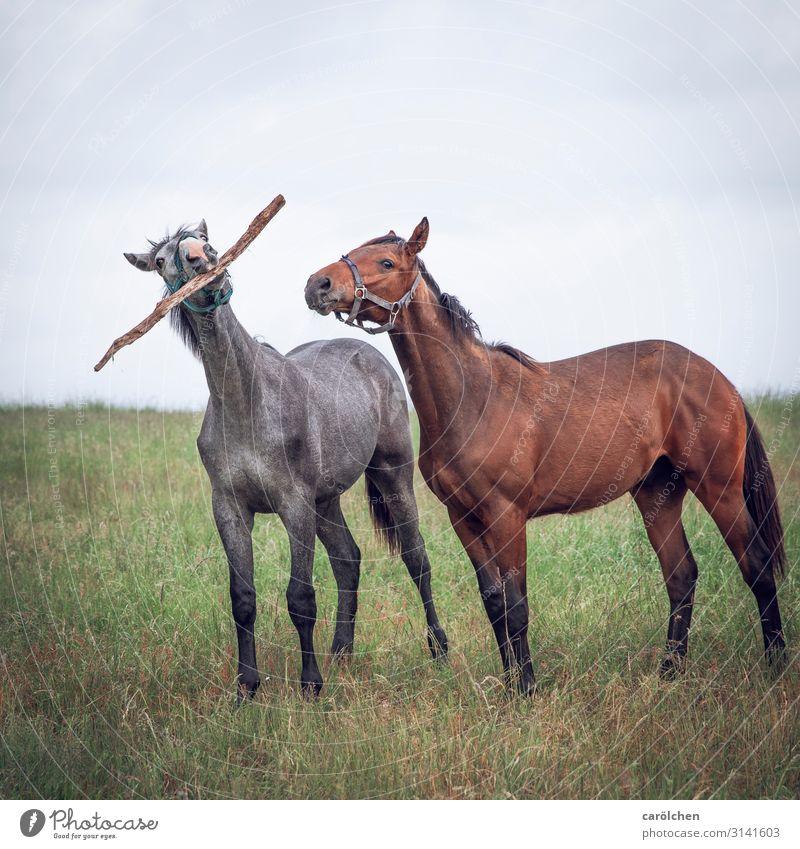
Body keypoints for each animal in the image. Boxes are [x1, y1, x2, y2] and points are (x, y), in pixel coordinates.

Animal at [125, 222, 450, 700]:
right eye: (163, 260)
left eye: (207, 242)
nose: (204, 262)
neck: (246, 400)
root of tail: (368, 353)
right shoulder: (230, 509)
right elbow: (242, 599)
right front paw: (246, 688)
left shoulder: (293, 505)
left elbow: (301, 598)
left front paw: (310, 685)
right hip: (326, 501)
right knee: (348, 560)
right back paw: (341, 652)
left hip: (392, 477)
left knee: (417, 559)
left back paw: (438, 649)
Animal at [304, 217, 788, 688]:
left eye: (386, 262)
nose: (318, 284)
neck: (473, 397)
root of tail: (719, 379)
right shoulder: (464, 518)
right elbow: (494, 603)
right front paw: (509, 684)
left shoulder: (507, 516)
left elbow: (517, 605)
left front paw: (527, 689)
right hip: (658, 493)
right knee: (681, 575)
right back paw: (670, 672)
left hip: (719, 488)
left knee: (757, 566)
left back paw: (775, 666)